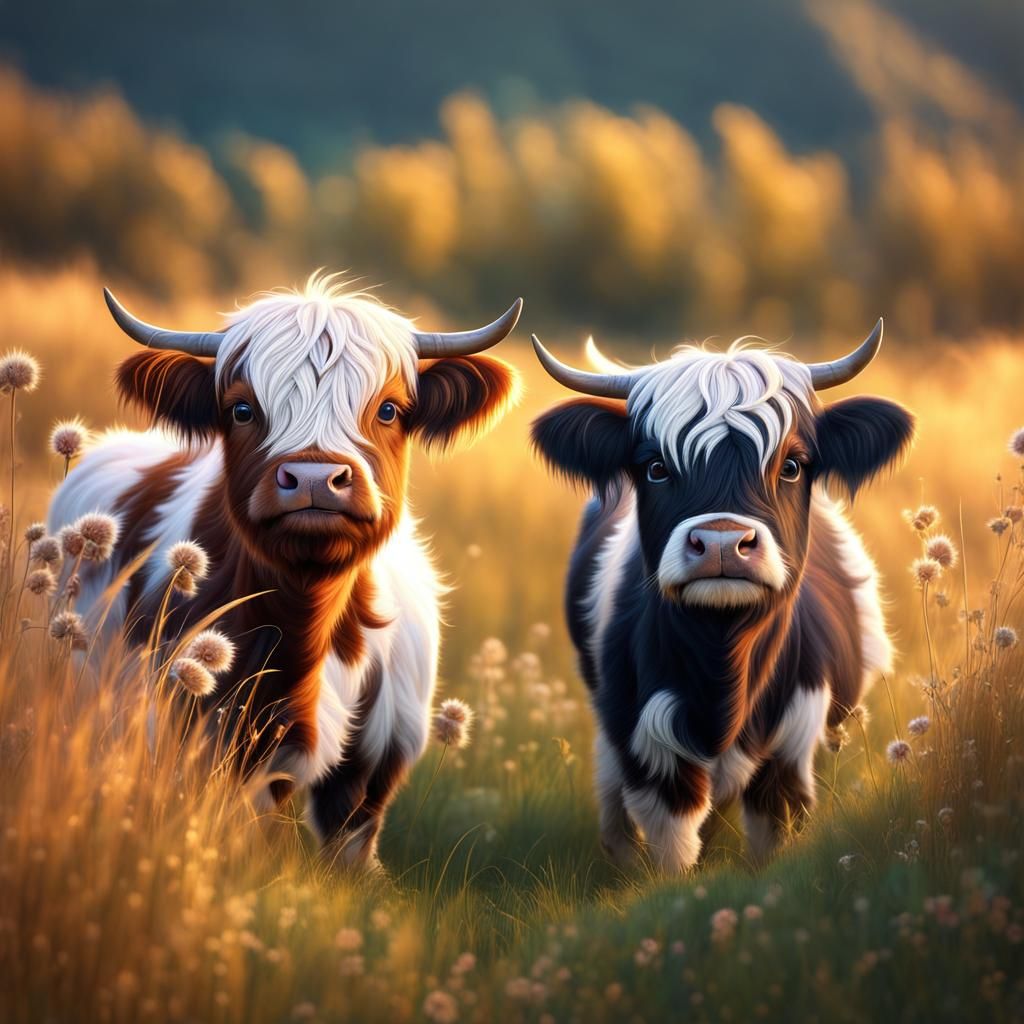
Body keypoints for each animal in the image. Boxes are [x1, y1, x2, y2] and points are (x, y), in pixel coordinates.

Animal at [48, 274, 521, 869]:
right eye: (242, 410)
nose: (315, 479)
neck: (304, 628)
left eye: (389, 410)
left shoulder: (377, 760)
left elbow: (350, 850)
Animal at [529, 323, 914, 870]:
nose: (722, 544)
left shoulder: (789, 757)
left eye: (792, 466)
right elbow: (673, 854)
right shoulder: (650, 754)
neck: (721, 674)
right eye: (656, 468)